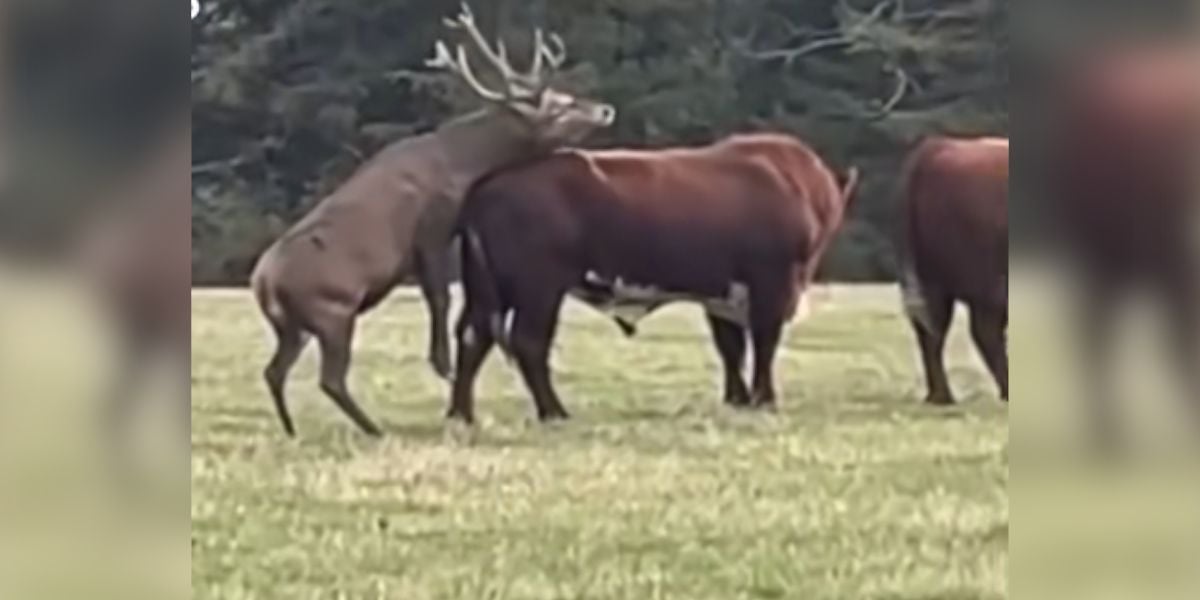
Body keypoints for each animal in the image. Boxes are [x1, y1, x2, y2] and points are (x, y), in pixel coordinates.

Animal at [250, 3, 615, 437]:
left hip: (294, 326)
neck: (460, 164)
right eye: (560, 106)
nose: (605, 108)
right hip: (332, 310)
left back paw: (293, 429)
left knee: (274, 371)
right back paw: (374, 429)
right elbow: (438, 294)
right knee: (330, 378)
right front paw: (443, 364)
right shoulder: (434, 225)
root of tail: (263, 285)